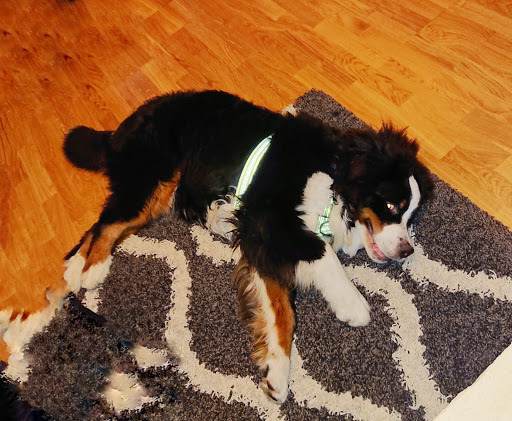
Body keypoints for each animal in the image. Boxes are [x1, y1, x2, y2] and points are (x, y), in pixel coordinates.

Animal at [63, 90, 432, 403]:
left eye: (411, 216)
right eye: (392, 206)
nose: (407, 252)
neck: (332, 179)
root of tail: (123, 126)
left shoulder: (264, 246)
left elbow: (281, 312)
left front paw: (277, 371)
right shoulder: (267, 219)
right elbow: (321, 253)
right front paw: (352, 303)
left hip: (159, 192)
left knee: (100, 223)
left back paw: (74, 268)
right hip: (151, 176)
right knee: (109, 222)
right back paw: (93, 269)